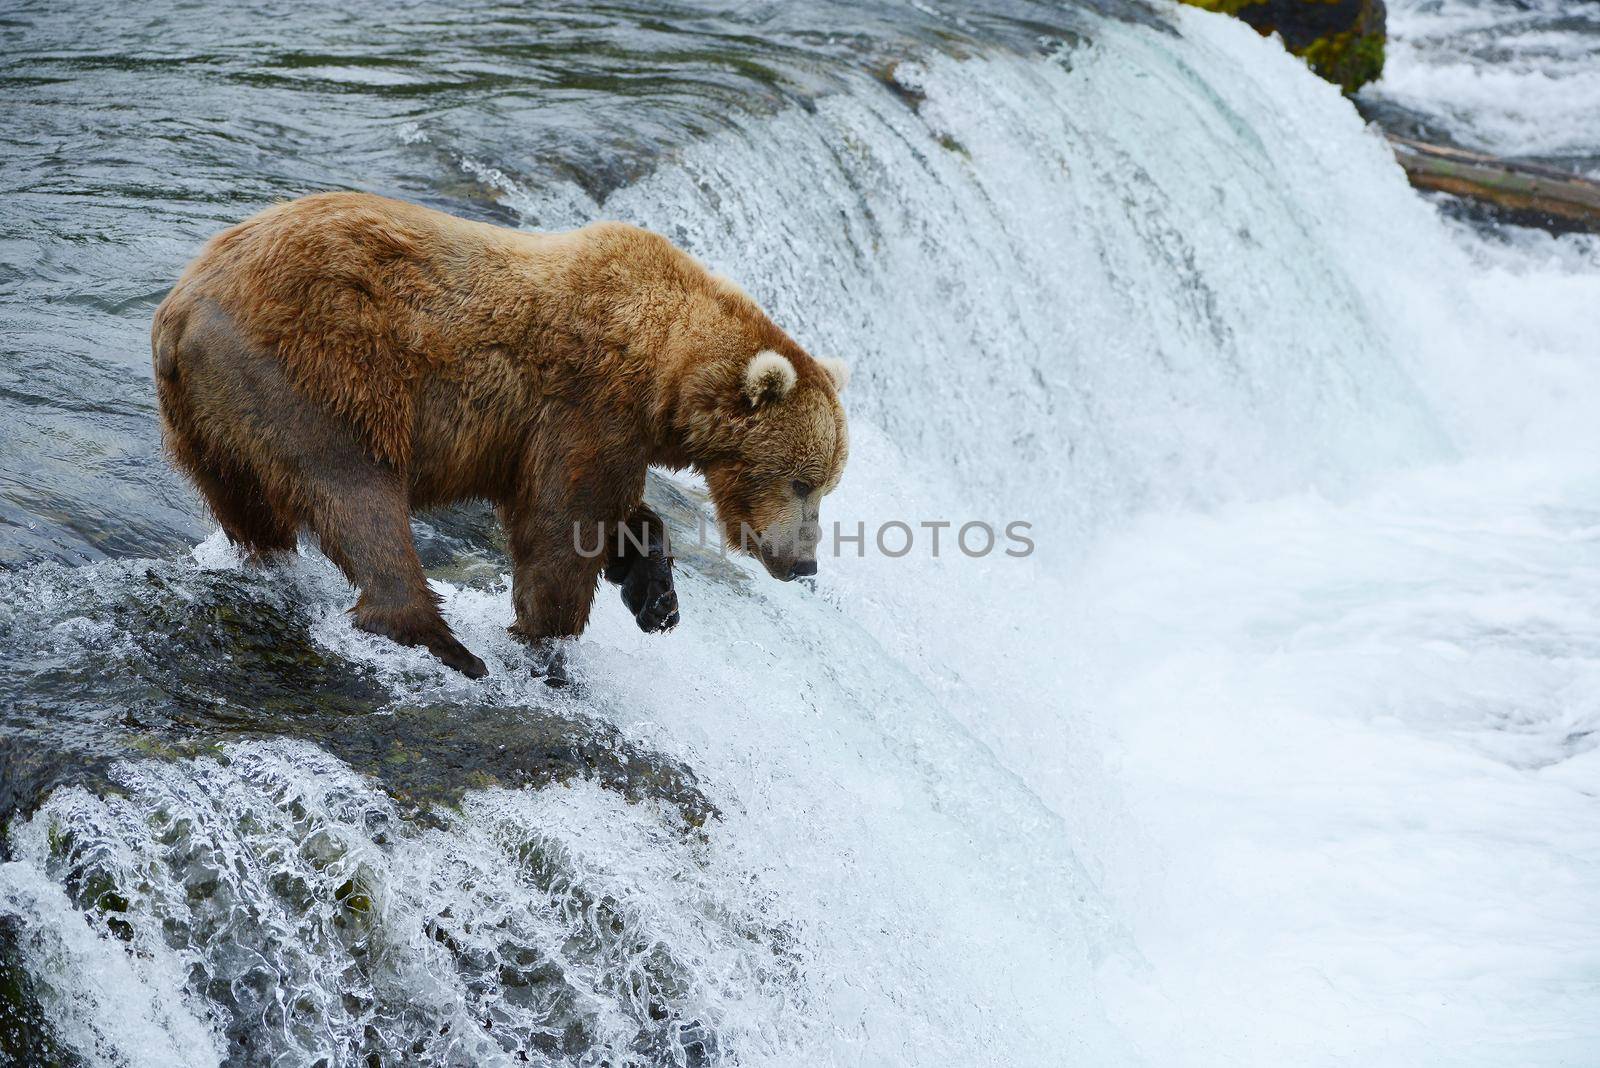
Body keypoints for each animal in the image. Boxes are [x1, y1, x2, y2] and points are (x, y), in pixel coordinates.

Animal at [152, 195, 851, 681]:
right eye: (801, 481)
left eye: (827, 484)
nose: (805, 564)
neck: (664, 372)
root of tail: (179, 309)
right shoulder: (586, 406)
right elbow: (561, 525)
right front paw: (547, 638)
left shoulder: (592, 432)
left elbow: (616, 514)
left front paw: (656, 597)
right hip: (317, 376)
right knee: (358, 498)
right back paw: (445, 645)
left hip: (209, 423)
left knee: (252, 507)